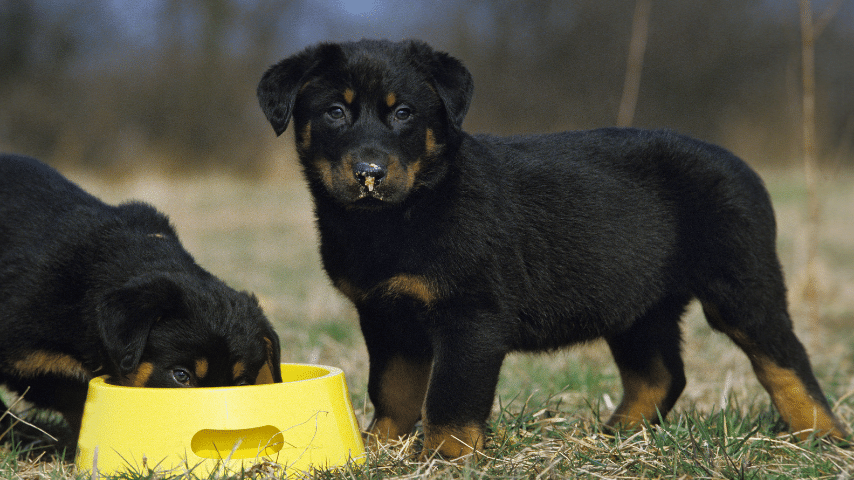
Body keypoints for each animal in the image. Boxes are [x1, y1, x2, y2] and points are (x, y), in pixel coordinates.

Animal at [258, 39, 852, 460]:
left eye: (403, 113)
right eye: (335, 112)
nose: (370, 173)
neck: (395, 218)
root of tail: (741, 166)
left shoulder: (471, 315)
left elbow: (449, 396)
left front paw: (445, 458)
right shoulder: (385, 313)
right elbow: (394, 387)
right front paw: (380, 444)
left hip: (741, 284)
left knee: (786, 360)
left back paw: (821, 437)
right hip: (638, 301)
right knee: (661, 374)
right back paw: (615, 438)